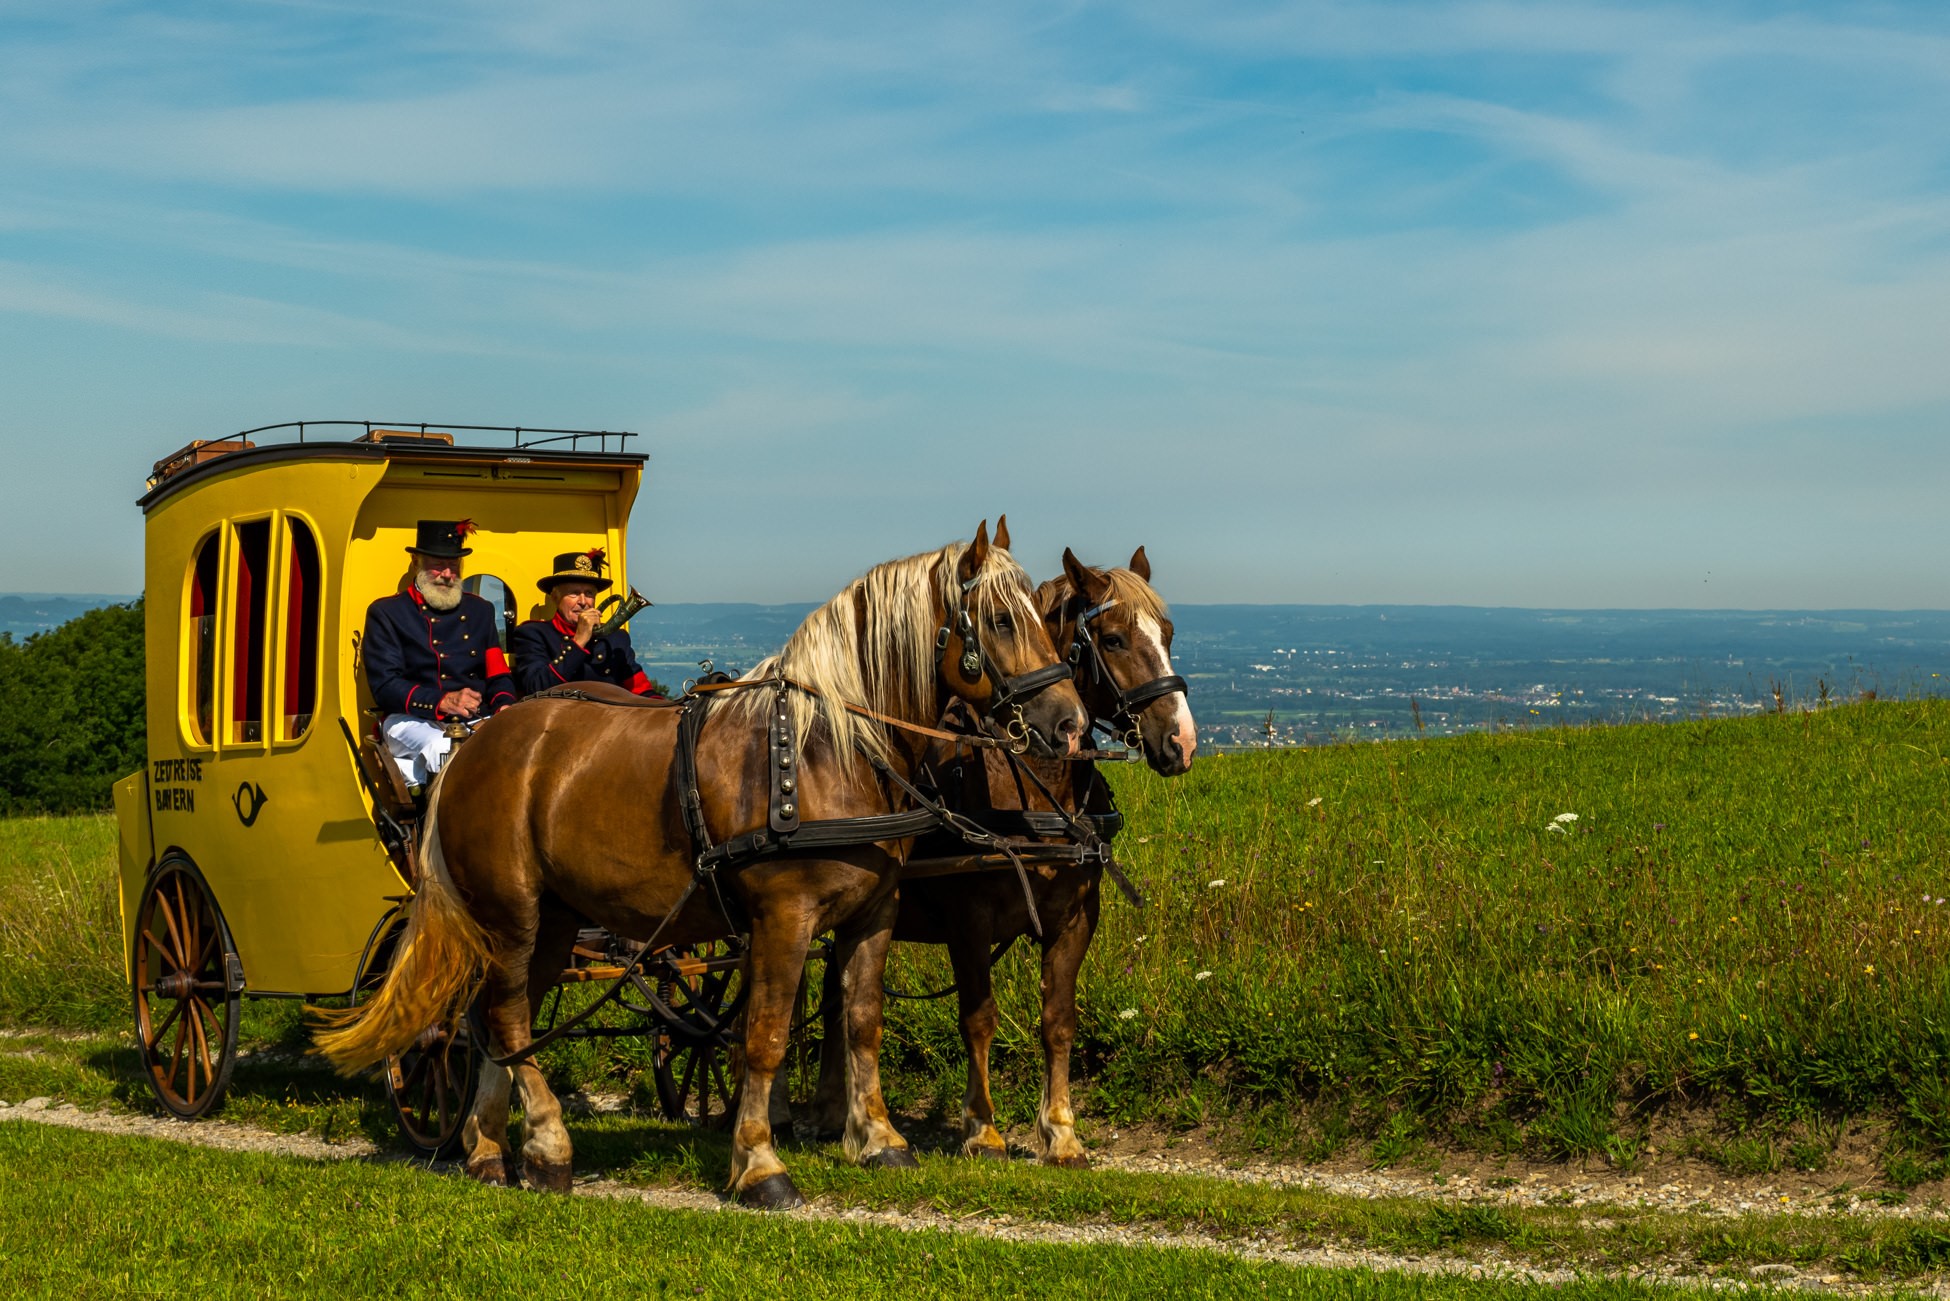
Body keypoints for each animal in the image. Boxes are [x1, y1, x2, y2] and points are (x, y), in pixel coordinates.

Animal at [315, 522, 1089, 1209]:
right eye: (999, 619)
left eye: (1043, 619)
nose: (1071, 724)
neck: (825, 748)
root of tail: (473, 745)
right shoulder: (783, 916)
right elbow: (766, 1035)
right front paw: (760, 1164)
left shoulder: (875, 911)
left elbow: (861, 1020)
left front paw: (878, 1139)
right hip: (511, 917)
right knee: (501, 1017)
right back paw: (548, 1143)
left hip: (555, 924)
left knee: (499, 1018)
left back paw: (489, 1147)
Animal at [807, 545, 1196, 1165]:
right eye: (1112, 639)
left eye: (1168, 633)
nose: (1183, 741)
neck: (1032, 791)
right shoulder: (969, 920)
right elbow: (978, 1019)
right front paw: (982, 1128)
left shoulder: (1076, 918)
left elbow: (1058, 1020)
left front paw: (1060, 1132)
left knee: (836, 996)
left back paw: (830, 1111)